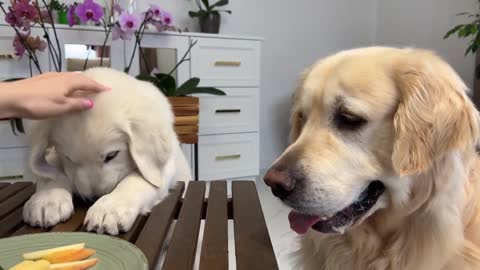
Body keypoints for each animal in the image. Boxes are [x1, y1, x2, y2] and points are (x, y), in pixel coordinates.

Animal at [22, 67, 191, 234]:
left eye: (112, 155)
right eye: (69, 158)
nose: (93, 197)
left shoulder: (164, 167)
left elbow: (137, 179)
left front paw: (110, 208)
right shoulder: (54, 155)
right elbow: (51, 173)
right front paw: (47, 199)